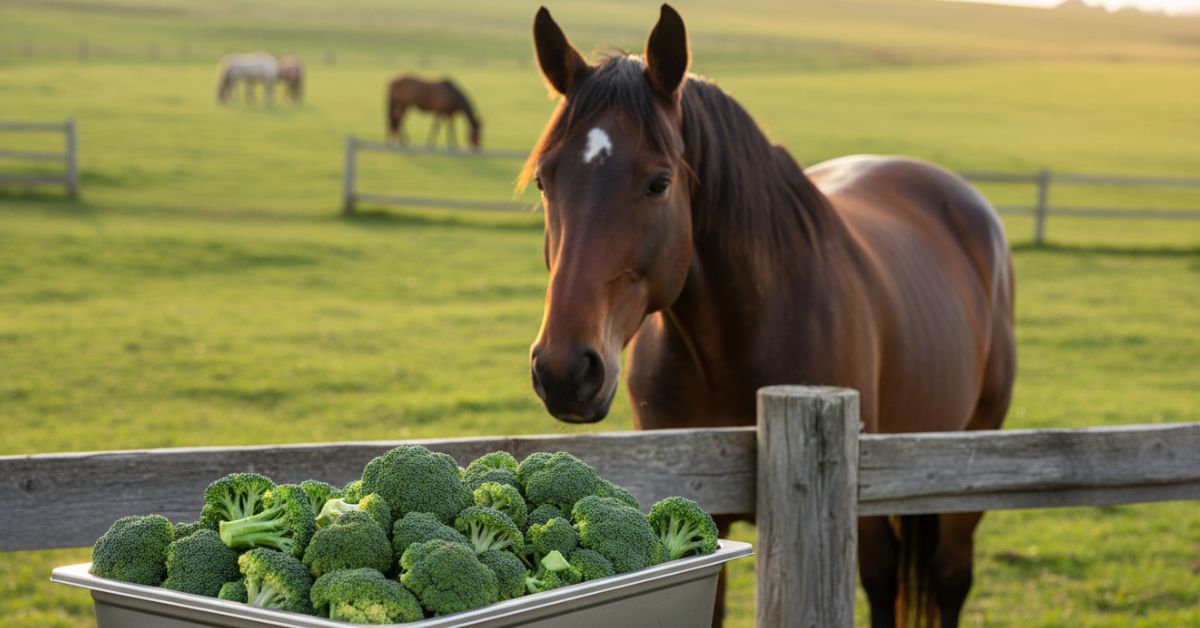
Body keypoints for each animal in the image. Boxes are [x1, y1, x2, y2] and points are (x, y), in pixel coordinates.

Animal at [524, 6, 1015, 628]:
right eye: (545, 179)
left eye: (659, 183)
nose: (564, 371)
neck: (733, 341)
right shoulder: (701, 506)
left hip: (960, 465)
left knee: (935, 579)